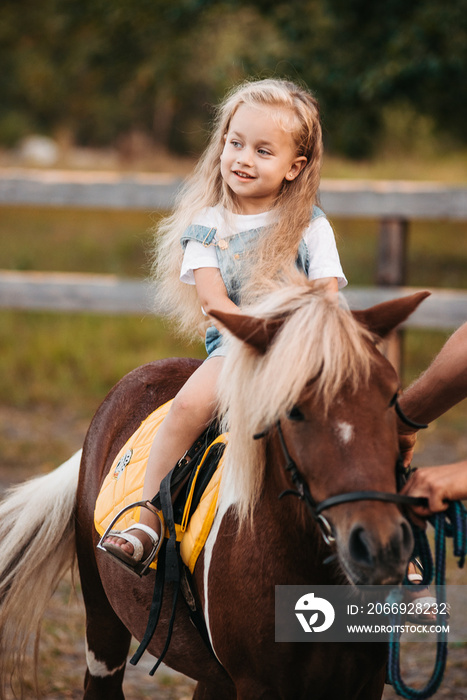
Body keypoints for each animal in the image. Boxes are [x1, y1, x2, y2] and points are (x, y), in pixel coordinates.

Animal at [0, 284, 428, 700]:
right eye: (292, 409)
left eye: (391, 397)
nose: (380, 545)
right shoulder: (258, 685)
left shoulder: (366, 680)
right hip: (103, 625)